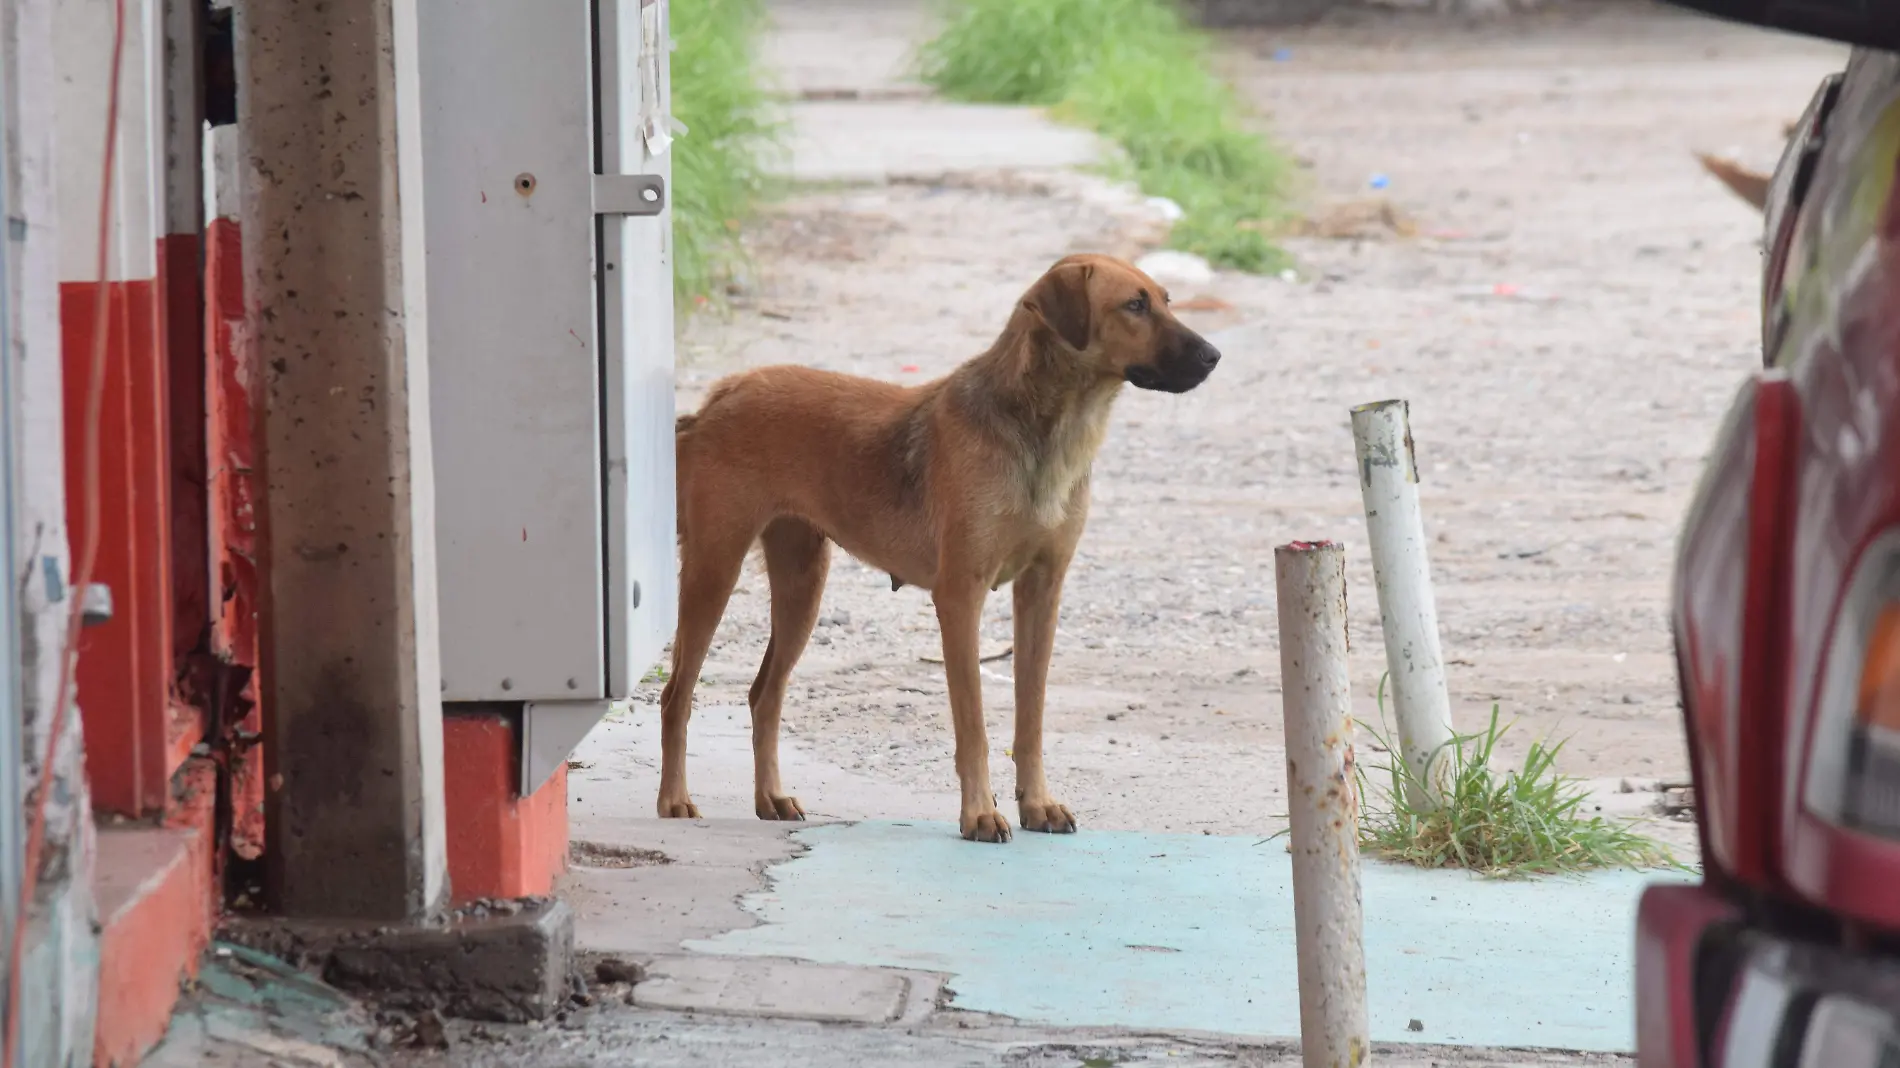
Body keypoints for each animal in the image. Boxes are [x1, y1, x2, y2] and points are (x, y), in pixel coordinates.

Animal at [657, 250, 1216, 839]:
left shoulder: (1042, 591)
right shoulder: (960, 597)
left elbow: (1031, 716)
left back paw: (771, 797)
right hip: (715, 571)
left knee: (763, 695)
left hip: (801, 586)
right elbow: (973, 725)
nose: (1214, 357)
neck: (1046, 429)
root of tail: (718, 398)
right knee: (677, 695)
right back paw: (674, 799)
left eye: (1166, 300)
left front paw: (1037, 803)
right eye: (1134, 306)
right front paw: (980, 813)